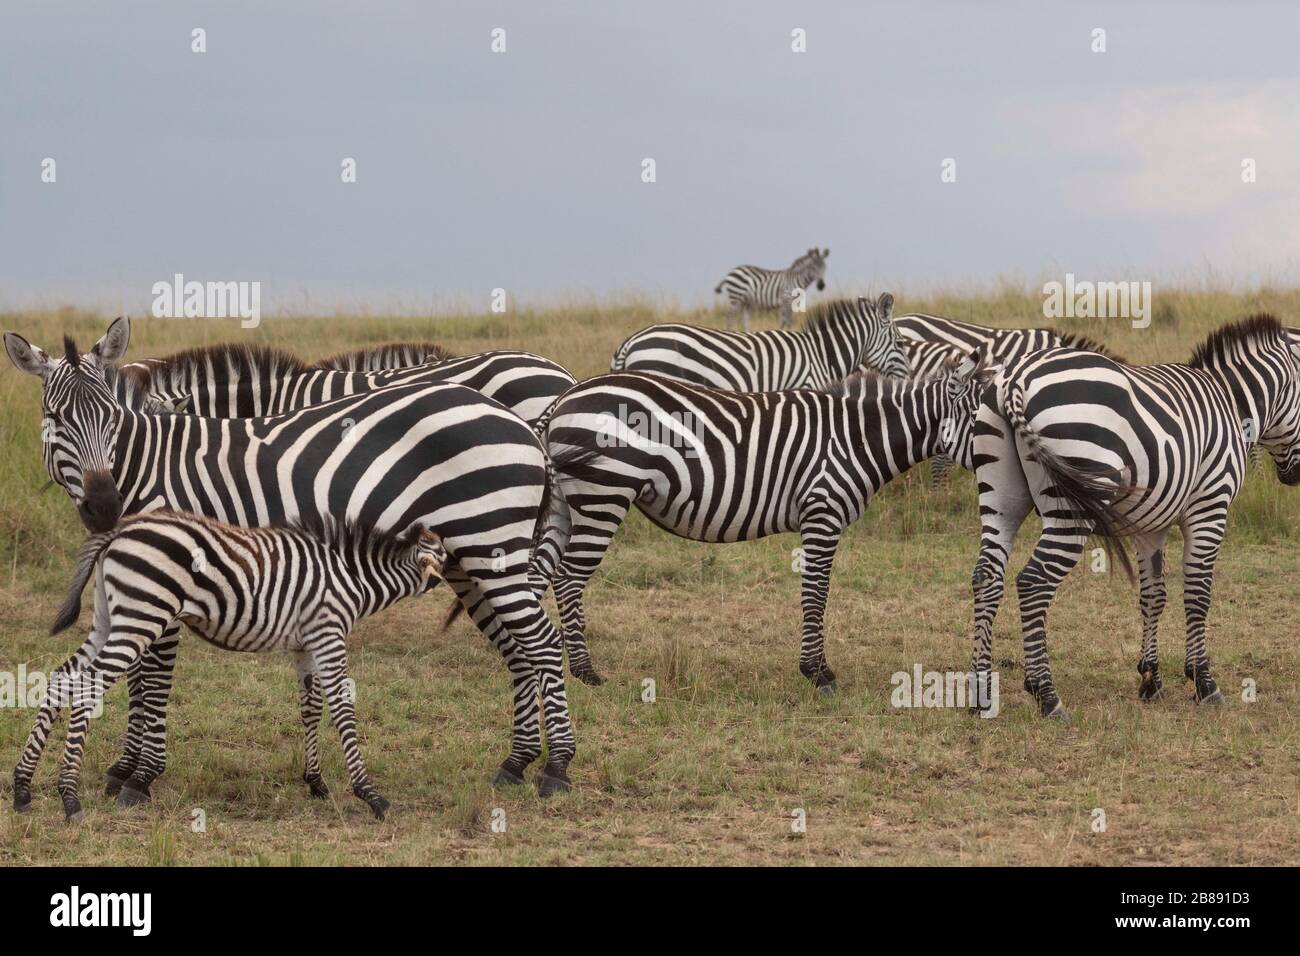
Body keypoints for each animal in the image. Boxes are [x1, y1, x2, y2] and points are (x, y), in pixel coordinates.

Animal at [16, 511, 449, 822]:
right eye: (448, 558)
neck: (350, 578)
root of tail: (119, 532)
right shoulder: (328, 633)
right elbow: (343, 709)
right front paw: (370, 794)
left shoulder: (305, 644)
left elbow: (310, 709)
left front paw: (315, 782)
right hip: (142, 616)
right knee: (87, 686)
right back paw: (69, 797)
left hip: (110, 618)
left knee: (62, 678)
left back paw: (23, 788)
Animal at [535, 360, 997, 687]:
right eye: (985, 423)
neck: (856, 438)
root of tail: (563, 400)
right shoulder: (822, 512)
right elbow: (816, 593)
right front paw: (817, 672)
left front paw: (814, 667)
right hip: (603, 496)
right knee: (569, 579)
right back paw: (585, 672)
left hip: (565, 505)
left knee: (543, 574)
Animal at [966, 314, 1300, 718]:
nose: (1296, 477)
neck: (1233, 403)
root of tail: (1015, 379)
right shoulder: (1209, 506)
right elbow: (1198, 593)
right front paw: (1203, 682)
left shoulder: (1150, 525)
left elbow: (1153, 595)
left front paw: (1150, 679)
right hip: (1071, 505)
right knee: (1033, 582)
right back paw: (1046, 695)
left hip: (1000, 495)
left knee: (987, 577)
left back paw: (981, 693)